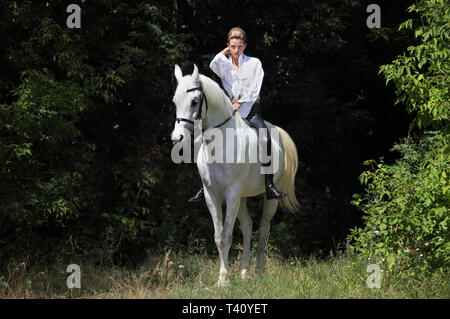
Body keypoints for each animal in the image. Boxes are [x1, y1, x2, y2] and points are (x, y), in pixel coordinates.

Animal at [171, 63, 300, 286]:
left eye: (195, 101)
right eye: (175, 101)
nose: (176, 137)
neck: (220, 141)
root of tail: (276, 130)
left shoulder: (231, 193)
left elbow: (226, 236)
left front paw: (224, 280)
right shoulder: (212, 195)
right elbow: (218, 236)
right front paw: (222, 278)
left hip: (267, 198)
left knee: (263, 228)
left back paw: (259, 270)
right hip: (242, 197)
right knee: (247, 227)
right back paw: (244, 272)